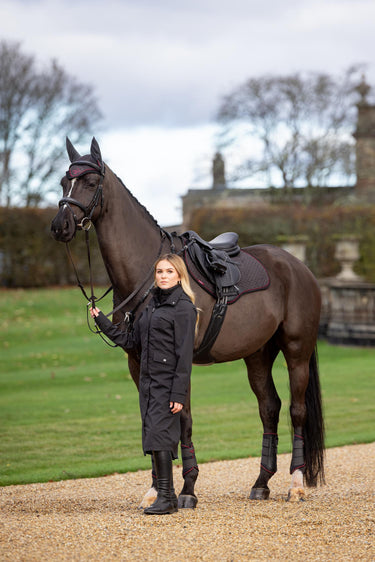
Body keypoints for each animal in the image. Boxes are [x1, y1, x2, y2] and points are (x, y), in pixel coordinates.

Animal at [50, 138, 326, 506]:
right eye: (63, 182)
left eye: (91, 182)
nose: (60, 225)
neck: (152, 278)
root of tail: (297, 265)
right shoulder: (138, 362)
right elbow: (149, 419)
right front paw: (156, 488)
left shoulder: (180, 363)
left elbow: (183, 420)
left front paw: (187, 489)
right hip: (257, 354)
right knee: (269, 407)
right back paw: (261, 482)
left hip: (297, 351)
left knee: (297, 410)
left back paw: (296, 483)